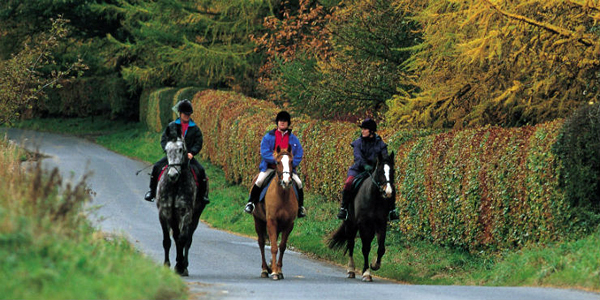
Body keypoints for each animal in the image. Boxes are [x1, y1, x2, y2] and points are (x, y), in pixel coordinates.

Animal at [156, 125, 207, 276]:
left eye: (180, 149)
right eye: (167, 149)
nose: (173, 175)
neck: (175, 184)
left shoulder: (186, 213)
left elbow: (183, 239)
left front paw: (180, 266)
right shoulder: (164, 213)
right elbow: (167, 240)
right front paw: (167, 265)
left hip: (194, 217)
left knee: (187, 239)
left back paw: (184, 265)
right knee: (175, 237)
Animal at [252, 145, 298, 278]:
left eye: (291, 161)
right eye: (277, 162)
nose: (286, 182)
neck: (282, 195)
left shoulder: (288, 224)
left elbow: (281, 246)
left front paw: (278, 270)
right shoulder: (271, 221)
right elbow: (273, 247)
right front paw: (274, 272)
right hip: (258, 221)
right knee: (261, 243)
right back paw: (264, 269)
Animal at [326, 152, 396, 282]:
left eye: (392, 171)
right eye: (380, 171)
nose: (388, 192)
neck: (374, 198)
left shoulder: (381, 224)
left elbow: (381, 248)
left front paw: (375, 264)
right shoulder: (363, 225)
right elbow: (365, 248)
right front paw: (366, 272)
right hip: (350, 225)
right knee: (351, 245)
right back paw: (351, 270)